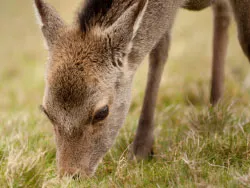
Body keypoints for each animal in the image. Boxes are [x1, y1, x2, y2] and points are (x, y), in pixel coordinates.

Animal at [34, 0, 250, 178]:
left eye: (102, 112)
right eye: (46, 111)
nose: (70, 174)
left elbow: (245, 39)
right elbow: (158, 51)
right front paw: (141, 150)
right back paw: (216, 107)